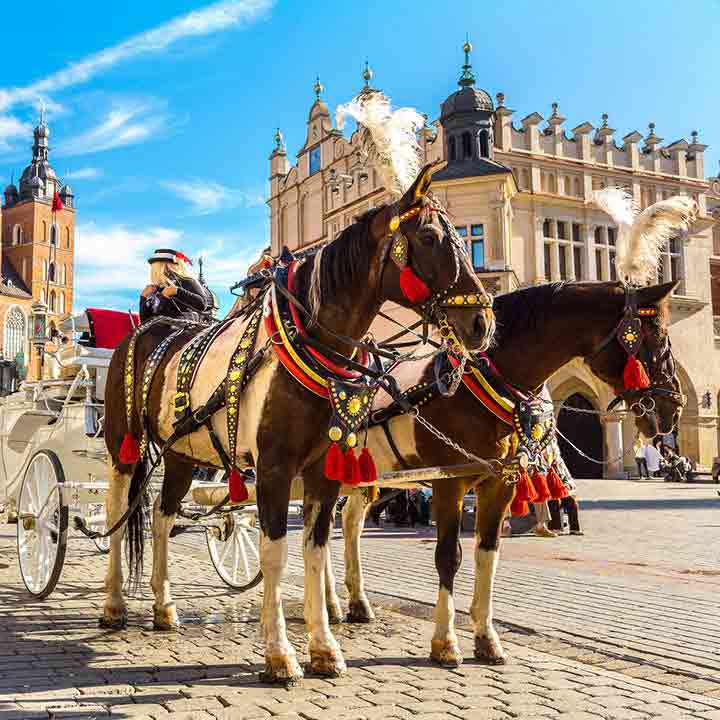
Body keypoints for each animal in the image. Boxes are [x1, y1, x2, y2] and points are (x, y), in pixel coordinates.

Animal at [101, 166, 496, 684]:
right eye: (430, 238)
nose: (483, 323)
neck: (309, 342)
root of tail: (150, 327)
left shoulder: (322, 470)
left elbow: (315, 549)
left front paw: (324, 646)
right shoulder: (274, 466)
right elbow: (275, 552)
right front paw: (279, 653)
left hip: (182, 451)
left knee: (163, 517)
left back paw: (164, 607)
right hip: (122, 443)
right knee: (116, 509)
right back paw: (113, 603)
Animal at [330, 278, 684, 668]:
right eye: (657, 338)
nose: (674, 408)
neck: (479, 384)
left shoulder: (500, 482)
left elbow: (488, 553)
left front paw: (486, 638)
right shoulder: (449, 483)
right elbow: (448, 556)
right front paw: (445, 641)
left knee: (346, 523)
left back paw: (349, 603)